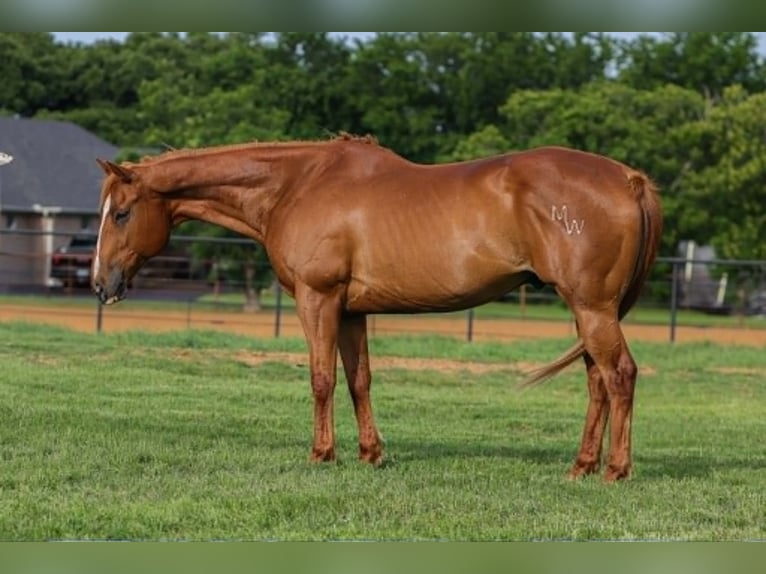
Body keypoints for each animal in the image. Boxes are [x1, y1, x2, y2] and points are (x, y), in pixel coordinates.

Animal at [93, 134, 662, 482]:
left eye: (121, 214)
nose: (101, 284)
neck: (298, 185)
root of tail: (629, 178)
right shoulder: (350, 310)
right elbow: (358, 380)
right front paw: (371, 454)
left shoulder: (317, 299)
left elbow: (321, 378)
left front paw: (322, 454)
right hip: (588, 312)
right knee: (598, 381)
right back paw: (582, 466)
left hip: (591, 308)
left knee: (620, 376)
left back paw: (615, 470)